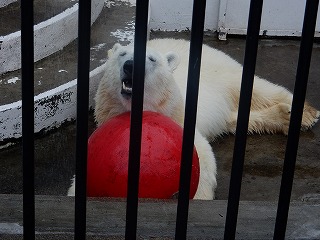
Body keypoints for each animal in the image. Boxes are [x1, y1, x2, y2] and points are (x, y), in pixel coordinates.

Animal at [67, 38, 318, 200]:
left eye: (152, 59)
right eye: (122, 55)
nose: (131, 66)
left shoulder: (179, 120)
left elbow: (201, 159)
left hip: (221, 71)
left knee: (257, 89)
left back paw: (305, 113)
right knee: (237, 118)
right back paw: (283, 116)